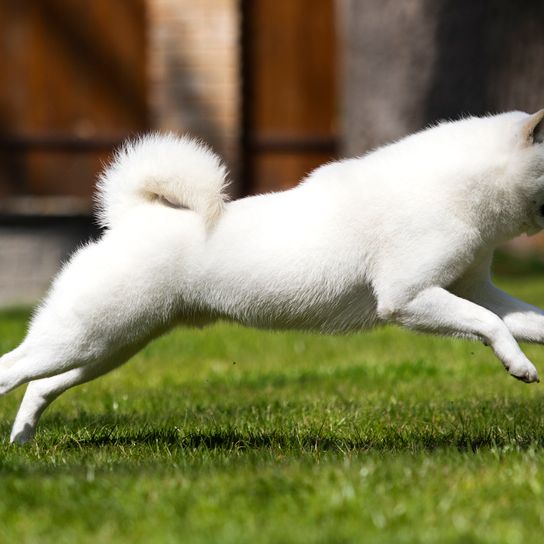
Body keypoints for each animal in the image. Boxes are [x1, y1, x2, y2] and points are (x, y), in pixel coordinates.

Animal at [3, 109, 544, 442]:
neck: (460, 186)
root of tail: (133, 216)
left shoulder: (475, 290)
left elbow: (516, 320)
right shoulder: (406, 299)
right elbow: (490, 325)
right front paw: (519, 367)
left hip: (109, 346)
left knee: (40, 386)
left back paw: (24, 438)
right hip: (83, 337)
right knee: (13, 368)